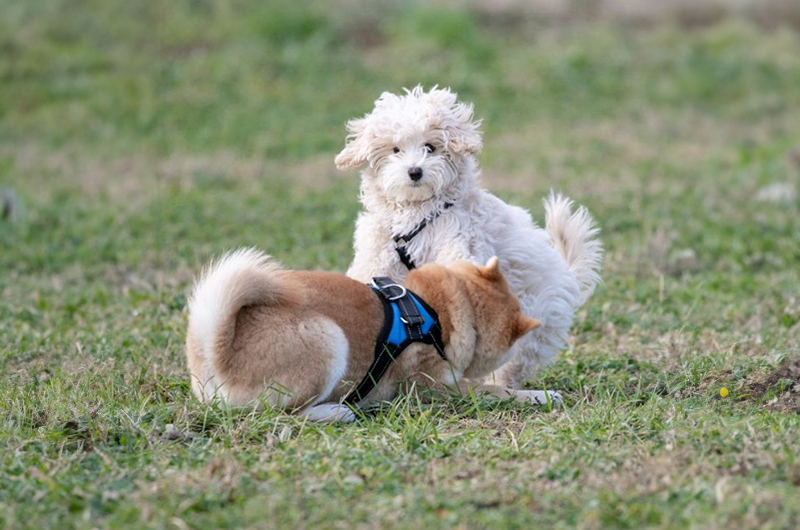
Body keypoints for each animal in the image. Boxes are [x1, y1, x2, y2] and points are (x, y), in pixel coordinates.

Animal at [185, 246, 552, 420]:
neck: (437, 311)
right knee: (286, 415)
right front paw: (538, 395)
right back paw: (336, 412)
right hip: (328, 339)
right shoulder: (435, 389)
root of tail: (217, 354)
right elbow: (495, 391)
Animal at [334, 85, 604, 388]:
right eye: (395, 149)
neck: (418, 211)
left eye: (430, 147)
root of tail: (566, 275)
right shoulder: (379, 249)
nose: (415, 171)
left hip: (533, 323)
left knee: (514, 362)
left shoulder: (459, 241)